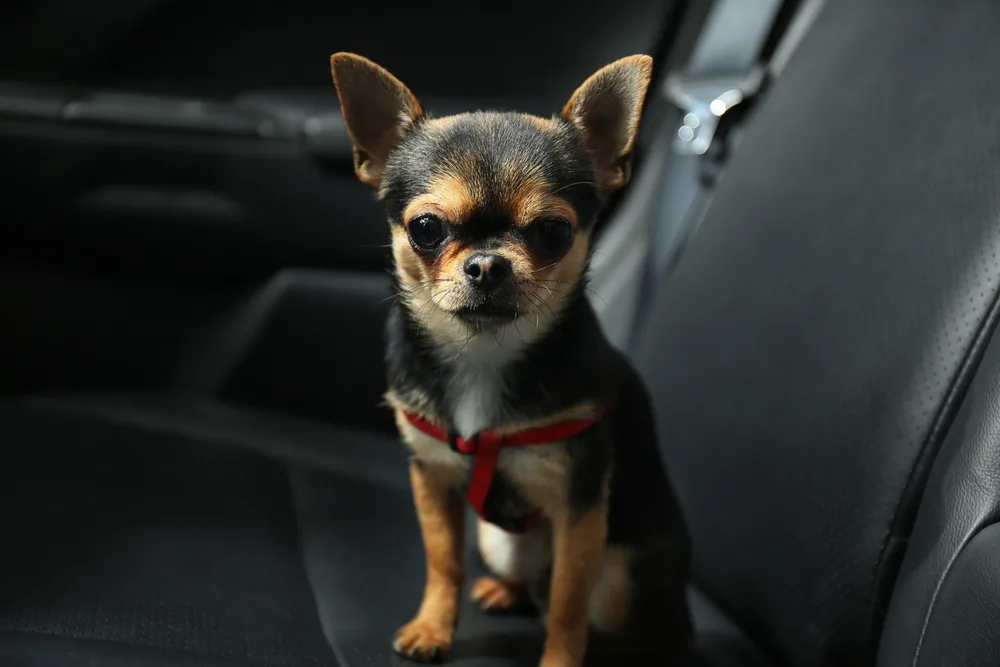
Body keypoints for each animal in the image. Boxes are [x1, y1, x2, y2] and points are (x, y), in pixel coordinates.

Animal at [332, 53, 692, 667]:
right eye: (426, 228)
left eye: (553, 232)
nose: (487, 264)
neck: (483, 354)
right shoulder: (433, 479)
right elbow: (443, 562)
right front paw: (432, 629)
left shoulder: (581, 509)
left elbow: (569, 603)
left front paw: (562, 660)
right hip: (499, 539)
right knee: (530, 580)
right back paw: (506, 590)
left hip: (624, 577)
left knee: (623, 620)